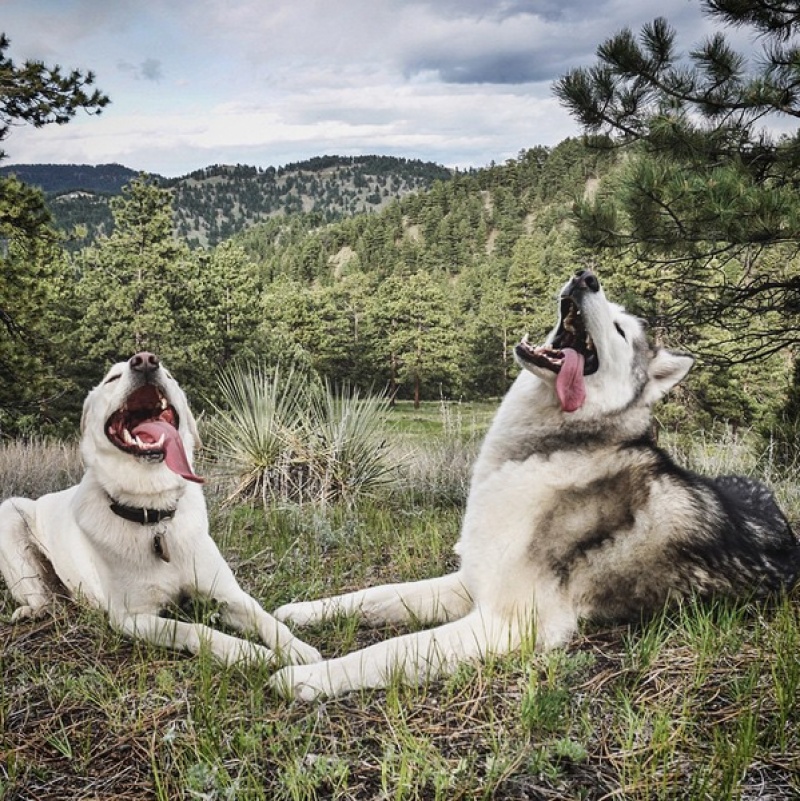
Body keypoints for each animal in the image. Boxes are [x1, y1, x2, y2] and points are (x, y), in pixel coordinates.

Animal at [3, 354, 322, 664]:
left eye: (168, 375)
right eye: (112, 378)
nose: (145, 360)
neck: (153, 511)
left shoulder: (229, 594)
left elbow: (266, 619)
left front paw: (297, 649)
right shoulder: (132, 618)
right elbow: (196, 630)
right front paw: (250, 653)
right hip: (9, 513)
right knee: (43, 599)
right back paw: (32, 611)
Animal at [270, 266, 800, 696]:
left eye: (620, 330)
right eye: (615, 316)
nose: (586, 277)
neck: (554, 447)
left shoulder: (507, 623)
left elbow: (389, 650)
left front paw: (307, 677)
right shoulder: (469, 582)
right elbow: (373, 595)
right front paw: (303, 613)